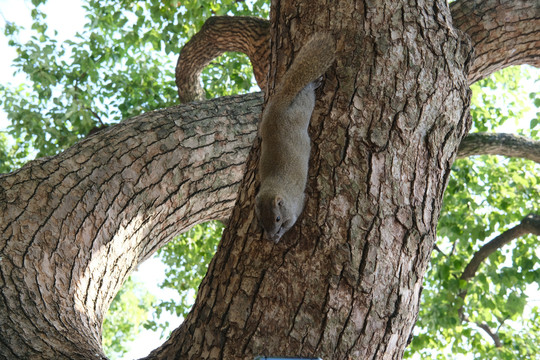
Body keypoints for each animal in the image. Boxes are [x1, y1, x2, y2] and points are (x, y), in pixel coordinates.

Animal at [255, 33, 336, 243]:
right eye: (260, 220)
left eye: (277, 218)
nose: (270, 236)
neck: (275, 185)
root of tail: (283, 98)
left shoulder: (296, 205)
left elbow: (292, 221)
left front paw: (279, 235)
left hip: (303, 106)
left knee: (307, 92)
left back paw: (313, 84)